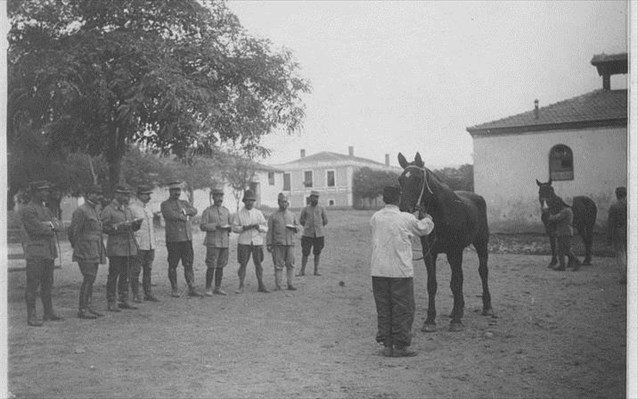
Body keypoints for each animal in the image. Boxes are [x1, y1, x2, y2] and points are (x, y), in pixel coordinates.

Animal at [400, 154, 496, 334]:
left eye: (418, 178)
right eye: (400, 179)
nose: (404, 209)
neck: (441, 213)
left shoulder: (454, 251)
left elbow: (456, 282)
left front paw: (456, 321)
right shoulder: (430, 253)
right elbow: (433, 284)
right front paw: (430, 320)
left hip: (481, 244)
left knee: (482, 272)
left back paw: (487, 307)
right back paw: (457, 309)